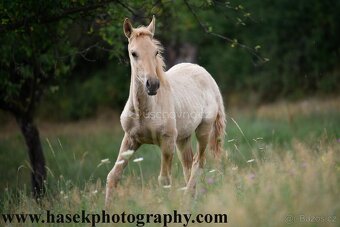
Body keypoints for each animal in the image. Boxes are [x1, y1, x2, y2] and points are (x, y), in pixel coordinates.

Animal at [105, 16, 224, 207]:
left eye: (155, 52)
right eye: (134, 53)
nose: (152, 85)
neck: (144, 111)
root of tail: (207, 76)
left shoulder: (167, 142)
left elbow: (164, 180)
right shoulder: (130, 139)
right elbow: (113, 176)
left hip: (203, 131)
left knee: (199, 162)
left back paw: (187, 200)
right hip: (183, 138)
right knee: (188, 165)